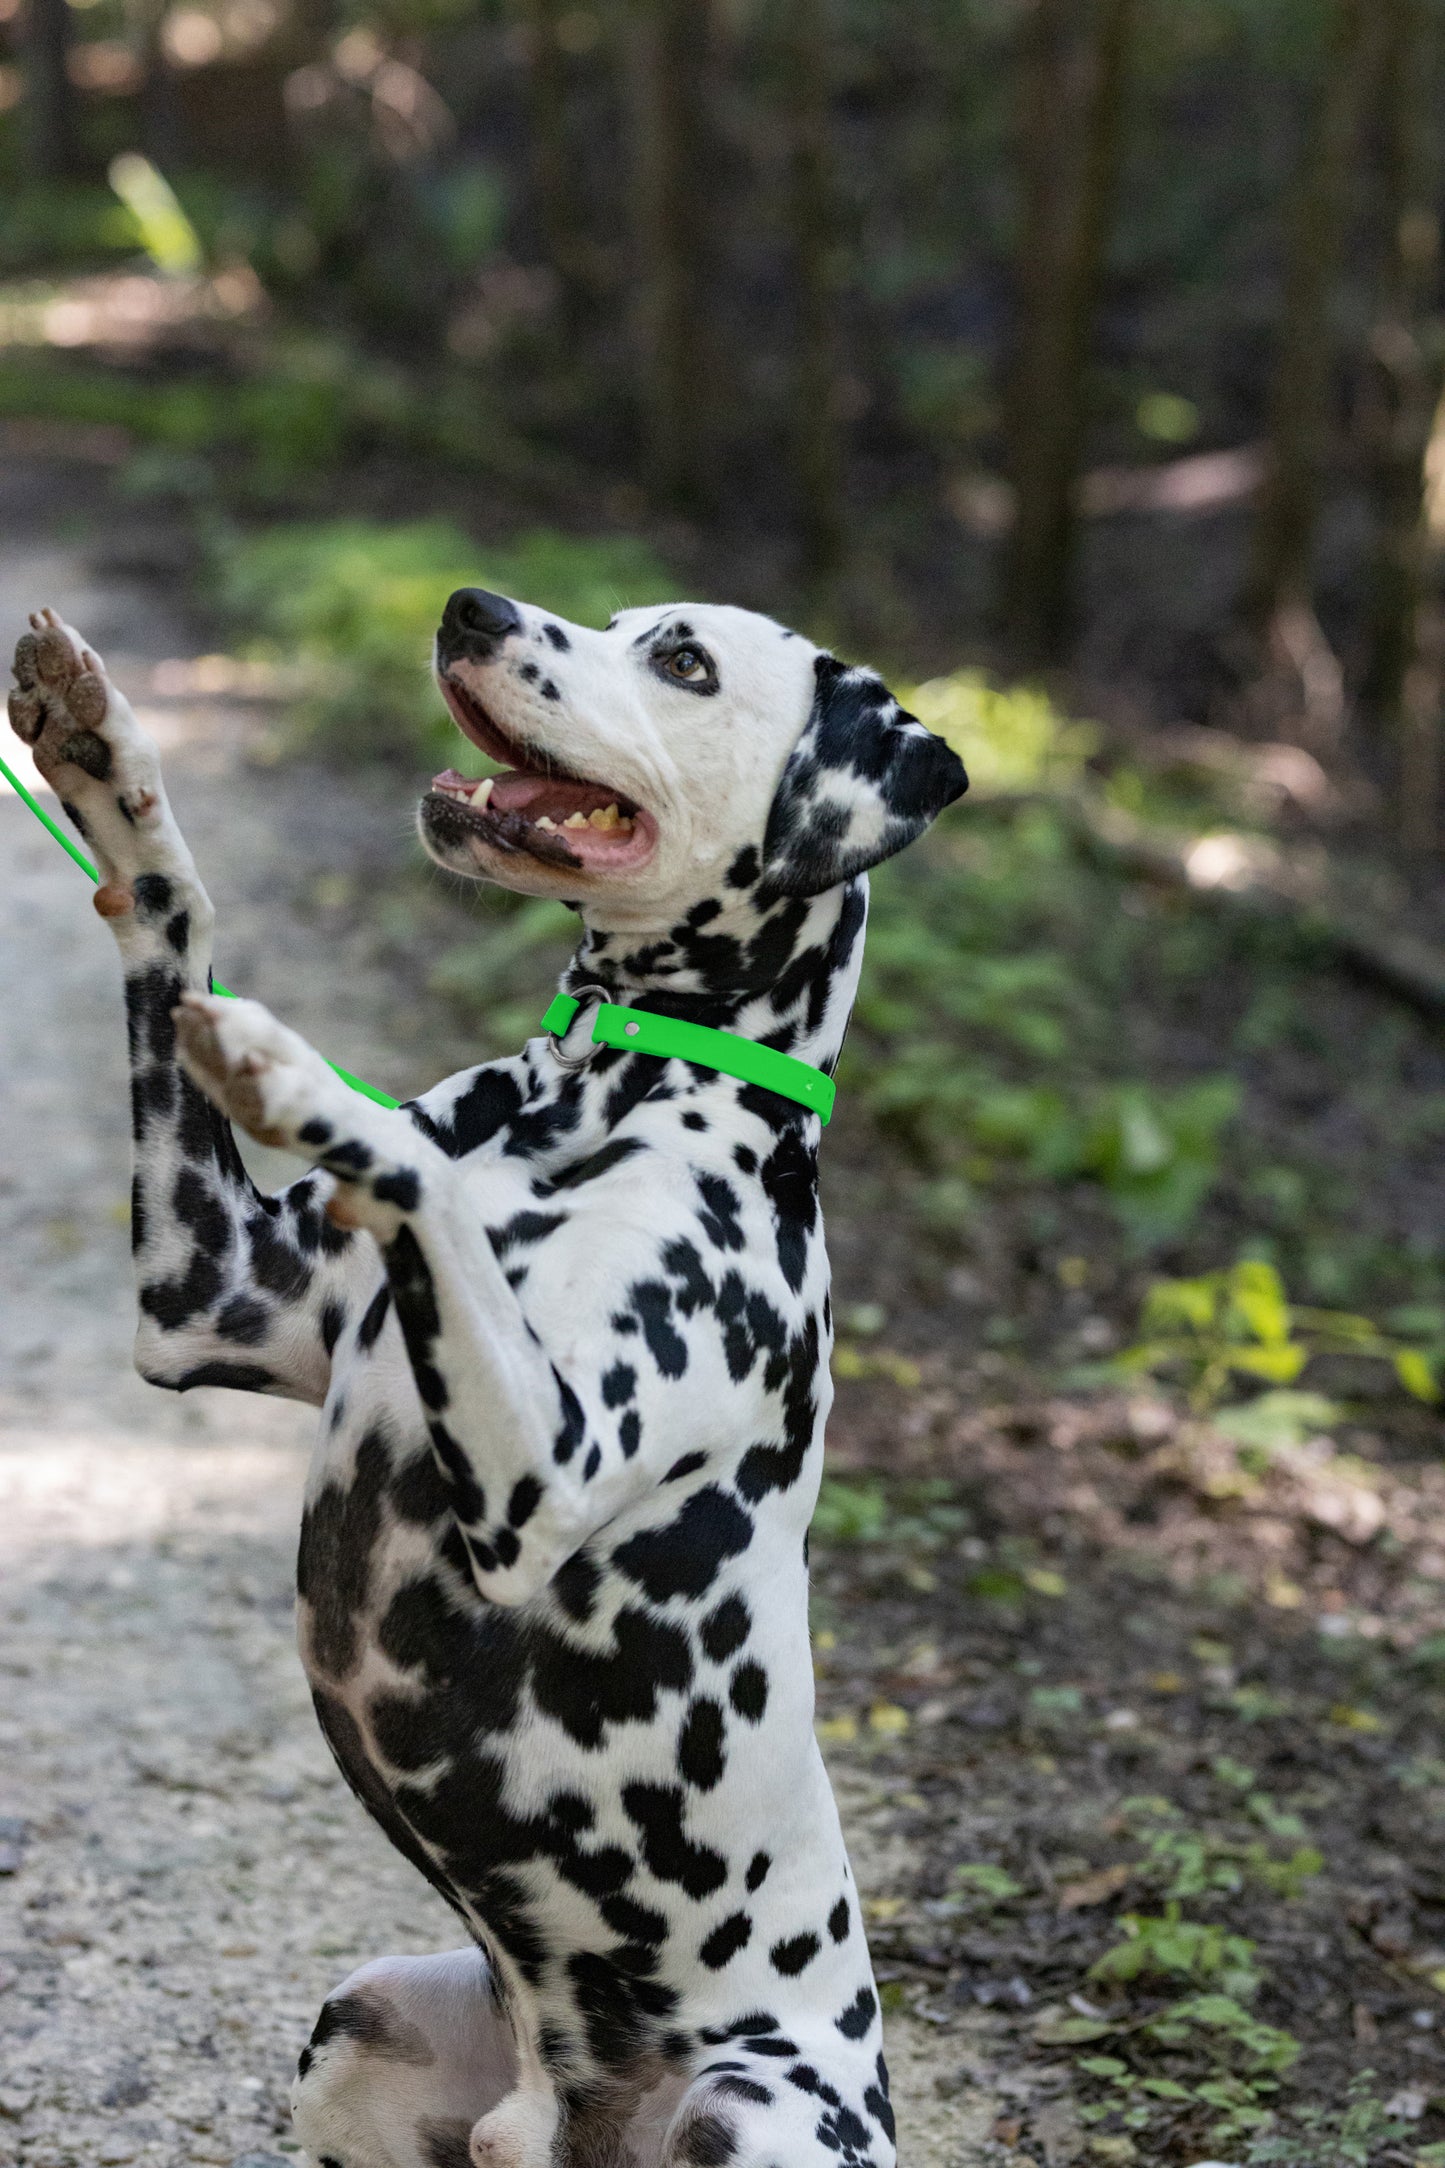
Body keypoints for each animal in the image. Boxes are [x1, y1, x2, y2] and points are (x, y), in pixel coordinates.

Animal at [11, 594, 966, 2168]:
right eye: (620, 617)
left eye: (682, 660)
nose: (473, 606)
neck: (608, 1091)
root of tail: (559, 2117)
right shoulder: (203, 1293)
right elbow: (169, 914)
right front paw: (103, 755)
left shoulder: (542, 1475)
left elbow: (419, 1180)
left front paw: (298, 1077)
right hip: (356, 2024)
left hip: (750, 2106)